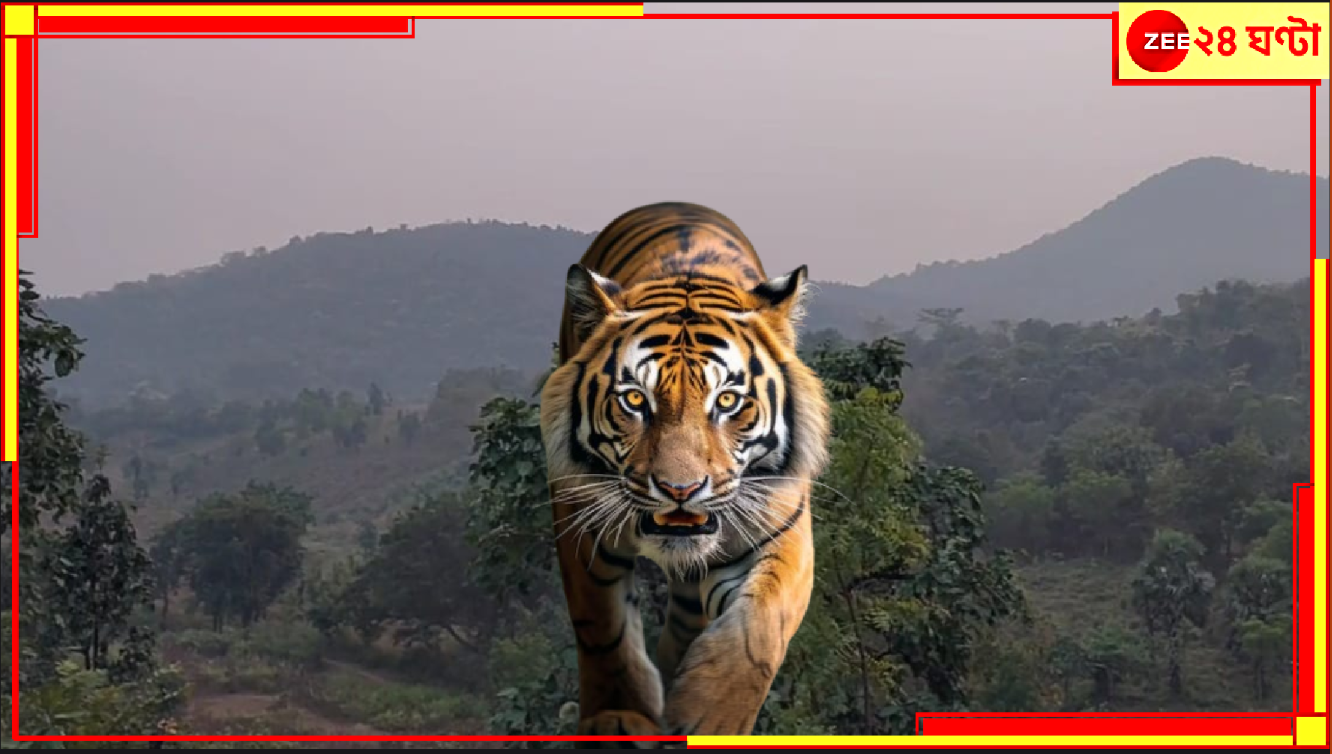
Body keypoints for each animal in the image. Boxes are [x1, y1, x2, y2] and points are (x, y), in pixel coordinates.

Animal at [538, 202, 832, 743]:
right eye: (635, 400)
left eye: (728, 401)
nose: (680, 489)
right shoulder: (582, 525)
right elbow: (604, 629)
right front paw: (619, 719)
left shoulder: (784, 530)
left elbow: (761, 625)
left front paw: (710, 716)